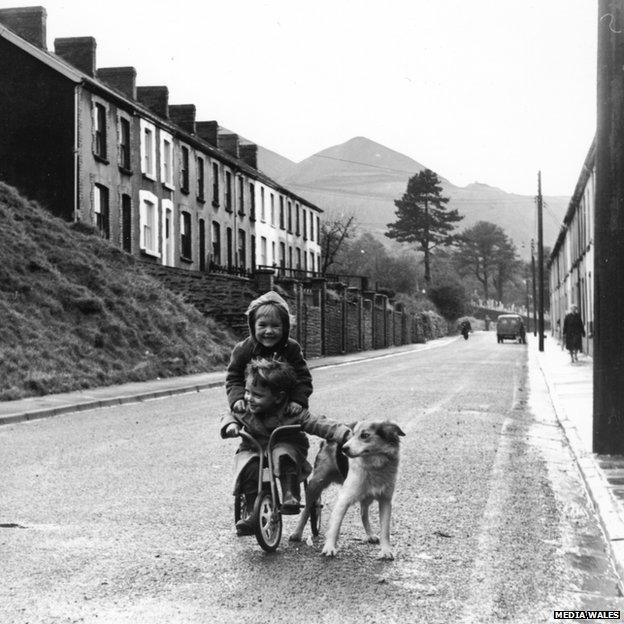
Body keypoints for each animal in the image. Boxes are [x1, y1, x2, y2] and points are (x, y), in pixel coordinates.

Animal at [288, 420, 404, 560]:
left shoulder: (385, 500)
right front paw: (329, 547)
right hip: (314, 485)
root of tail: (326, 440)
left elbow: (385, 529)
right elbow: (335, 526)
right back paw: (297, 533)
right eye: (352, 434)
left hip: (365, 495)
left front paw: (386, 550)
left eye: (365, 435)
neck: (375, 466)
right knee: (306, 510)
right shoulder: (344, 498)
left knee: (363, 513)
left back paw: (370, 534)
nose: (343, 448)